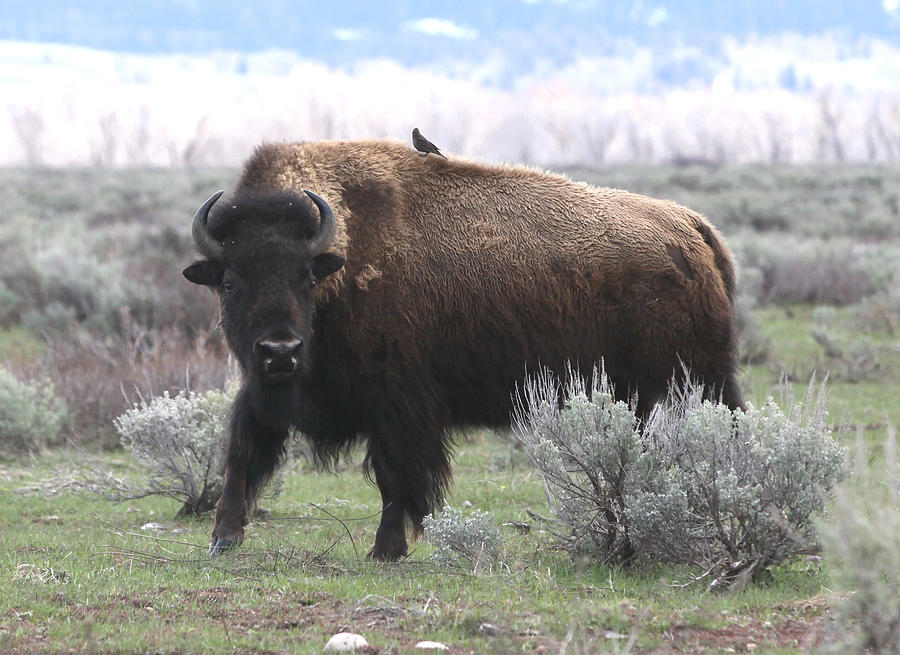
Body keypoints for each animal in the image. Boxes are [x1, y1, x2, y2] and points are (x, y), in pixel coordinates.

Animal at [183, 141, 744, 560]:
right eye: (229, 282)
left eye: (306, 277)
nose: (280, 350)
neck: (344, 253)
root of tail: (694, 230)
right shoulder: (264, 390)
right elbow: (242, 449)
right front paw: (223, 537)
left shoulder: (399, 405)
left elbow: (395, 476)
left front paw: (385, 550)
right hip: (645, 392)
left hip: (700, 380)